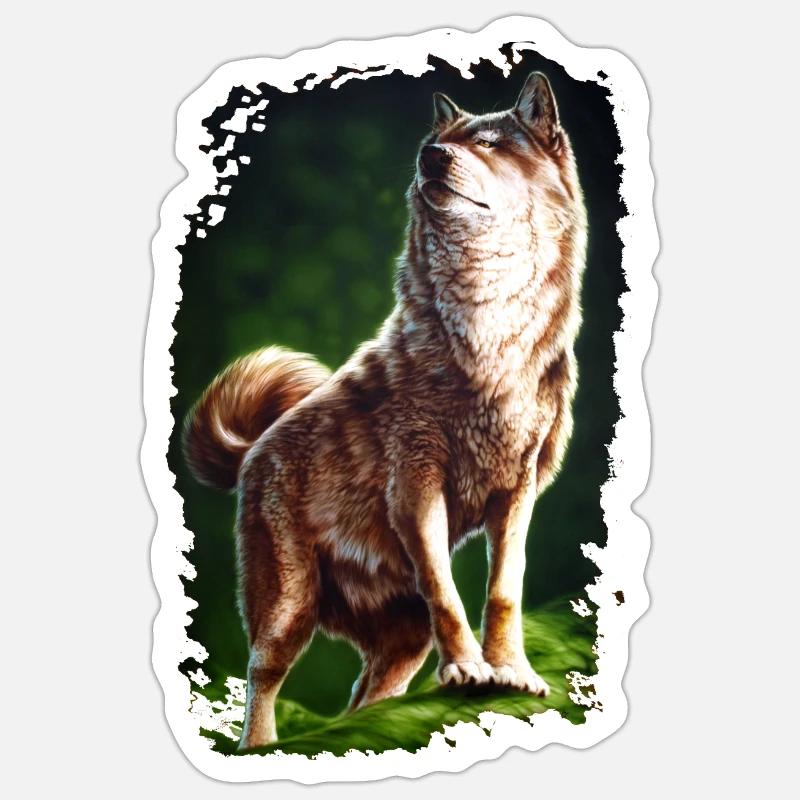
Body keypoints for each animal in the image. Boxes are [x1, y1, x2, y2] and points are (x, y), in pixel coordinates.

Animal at [183, 72, 587, 749]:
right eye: (436, 142)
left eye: (487, 143)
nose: (430, 157)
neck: (488, 333)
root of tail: (255, 448)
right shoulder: (417, 482)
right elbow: (446, 590)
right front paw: (469, 669)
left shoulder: (518, 489)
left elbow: (503, 589)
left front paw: (511, 671)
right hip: (288, 605)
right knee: (263, 675)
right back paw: (260, 746)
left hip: (402, 638)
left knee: (361, 700)